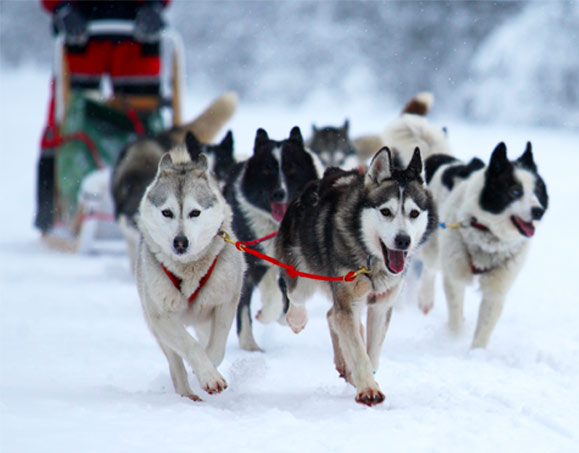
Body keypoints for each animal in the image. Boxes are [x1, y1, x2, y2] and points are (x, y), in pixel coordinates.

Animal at [137, 132, 246, 400]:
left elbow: (215, 348)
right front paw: (207, 375)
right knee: (175, 363)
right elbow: (189, 346)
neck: (189, 271)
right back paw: (188, 394)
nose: (180, 241)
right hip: (157, 326)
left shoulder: (225, 302)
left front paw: (209, 369)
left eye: (194, 212)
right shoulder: (160, 315)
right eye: (167, 212)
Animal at [223, 126, 322, 350]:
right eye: (267, 170)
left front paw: (287, 317)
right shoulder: (255, 260)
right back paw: (250, 344)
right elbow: (272, 292)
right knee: (244, 303)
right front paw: (270, 313)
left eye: (291, 168)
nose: (279, 193)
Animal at [276, 147, 436, 404]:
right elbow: (358, 350)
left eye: (414, 213)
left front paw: (366, 378)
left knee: (332, 315)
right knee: (299, 299)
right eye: (385, 211)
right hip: (302, 275)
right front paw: (369, 389)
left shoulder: (381, 306)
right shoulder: (349, 300)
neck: (372, 261)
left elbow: (371, 352)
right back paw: (298, 319)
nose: (403, 240)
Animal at [420, 143, 552, 348]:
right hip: (432, 245)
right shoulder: (455, 276)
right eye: (515, 191)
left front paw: (476, 352)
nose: (538, 211)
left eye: (537, 192)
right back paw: (425, 299)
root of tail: (447, 160)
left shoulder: (496, 289)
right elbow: (455, 314)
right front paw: (454, 340)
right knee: (429, 267)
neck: (487, 232)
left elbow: (484, 327)